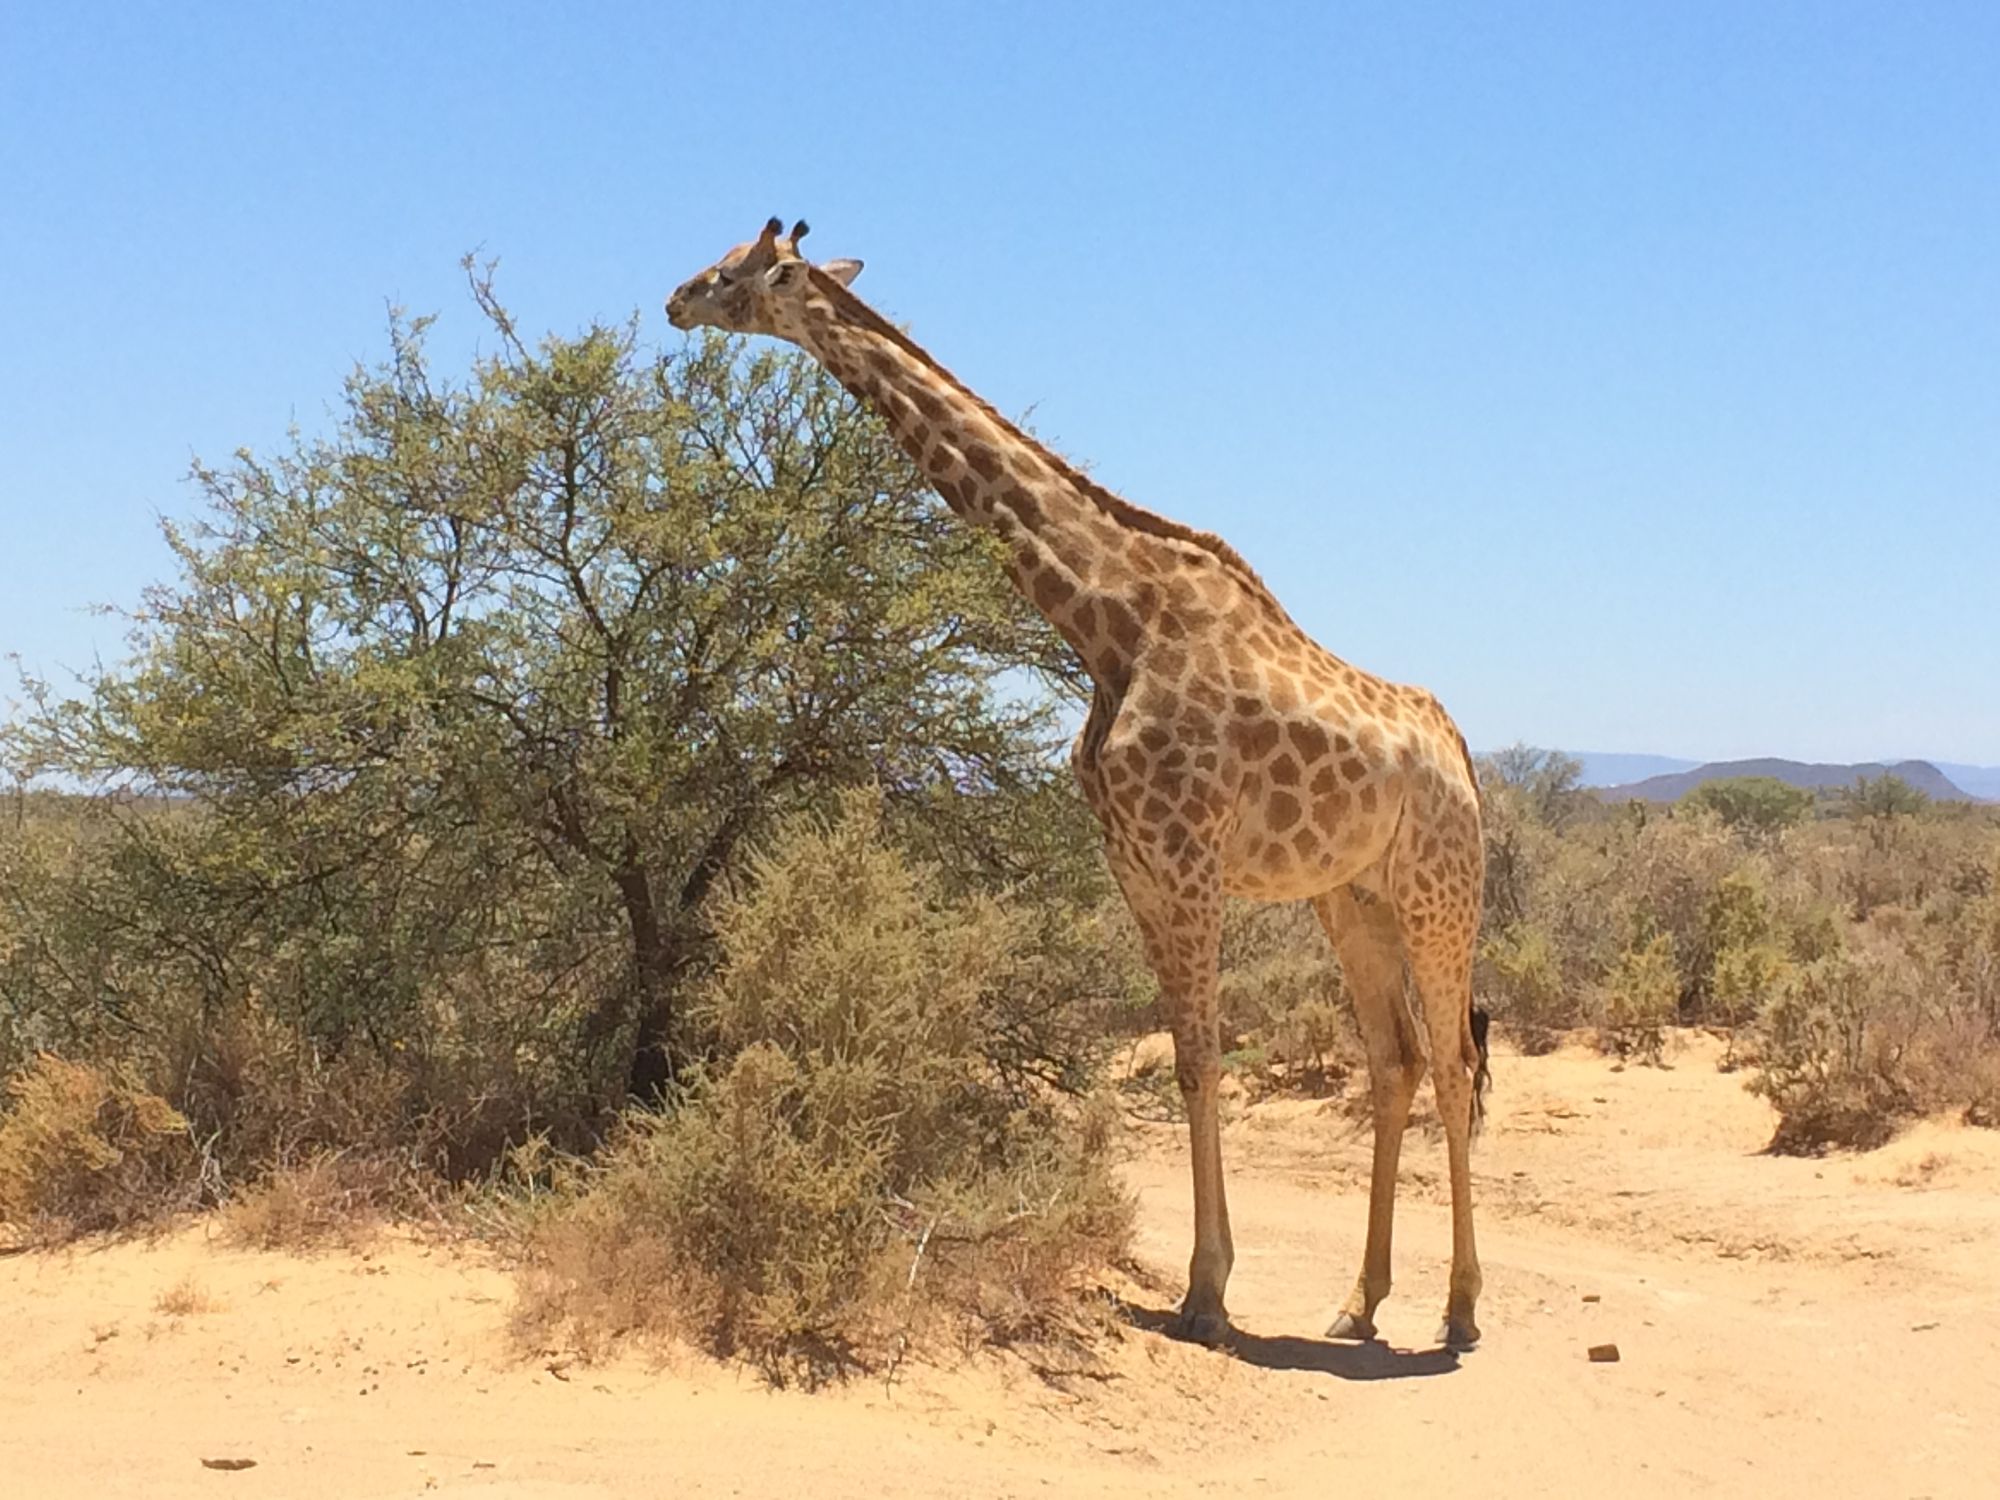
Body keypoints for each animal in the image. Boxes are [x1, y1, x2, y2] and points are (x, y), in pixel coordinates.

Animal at [666, 219, 1491, 1350]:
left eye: (739, 270)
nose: (673, 301)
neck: (1107, 624)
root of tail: (1461, 757)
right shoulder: (1134, 864)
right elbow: (1185, 1060)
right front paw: (1207, 1283)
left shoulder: (1186, 862)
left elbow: (1202, 1060)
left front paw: (1205, 1292)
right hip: (1348, 897)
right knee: (1395, 1060)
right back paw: (1359, 1302)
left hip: (1439, 893)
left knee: (1451, 1064)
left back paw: (1458, 1310)